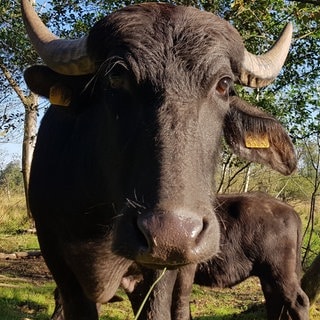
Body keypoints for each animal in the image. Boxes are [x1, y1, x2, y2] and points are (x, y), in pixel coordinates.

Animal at [128, 192, 310, 320]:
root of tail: (290, 211)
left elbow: (176, 305)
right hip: (268, 277)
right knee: (275, 302)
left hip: (280, 271)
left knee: (298, 301)